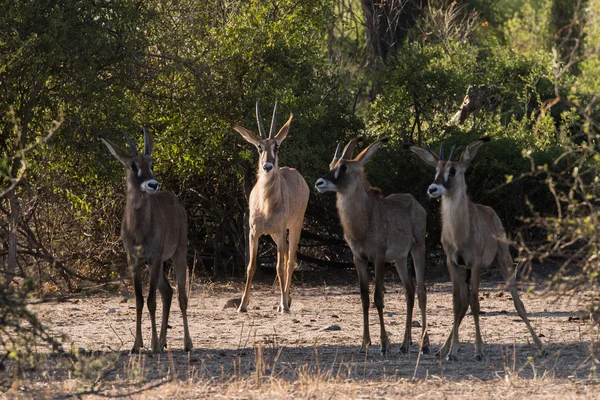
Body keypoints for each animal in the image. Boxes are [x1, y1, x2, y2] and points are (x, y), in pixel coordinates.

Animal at [232, 101, 310, 314]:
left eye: (277, 146)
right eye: (259, 147)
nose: (267, 166)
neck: (266, 204)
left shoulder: (282, 230)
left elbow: (279, 267)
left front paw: (284, 305)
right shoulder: (254, 232)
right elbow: (250, 266)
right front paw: (242, 305)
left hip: (294, 227)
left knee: (290, 261)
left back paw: (285, 304)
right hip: (275, 235)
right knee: (286, 257)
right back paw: (285, 300)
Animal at [406, 137, 540, 360]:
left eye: (452, 170)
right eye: (436, 170)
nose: (433, 189)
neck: (460, 232)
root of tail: (490, 211)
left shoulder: (476, 264)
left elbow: (476, 303)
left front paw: (478, 350)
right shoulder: (453, 264)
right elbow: (456, 303)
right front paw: (453, 350)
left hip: (502, 259)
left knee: (516, 301)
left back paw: (540, 345)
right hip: (466, 272)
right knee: (463, 303)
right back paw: (443, 350)